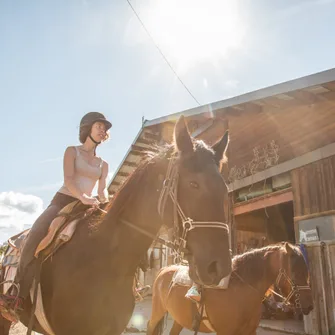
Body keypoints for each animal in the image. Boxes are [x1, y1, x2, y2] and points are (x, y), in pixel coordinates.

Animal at [148, 243, 314, 335]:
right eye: (296, 272)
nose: (309, 306)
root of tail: (164, 270)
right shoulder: (225, 332)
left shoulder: (250, 331)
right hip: (157, 311)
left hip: (179, 319)